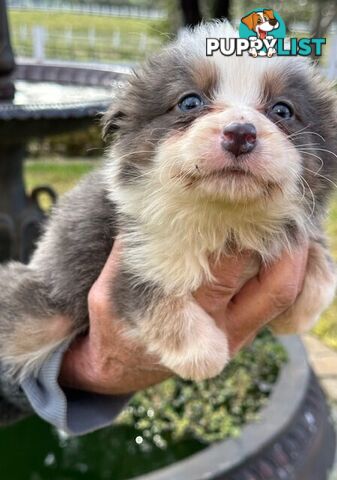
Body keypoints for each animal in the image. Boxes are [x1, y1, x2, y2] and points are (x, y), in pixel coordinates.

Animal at [0, 22, 336, 382]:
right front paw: (205, 353)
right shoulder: (130, 259)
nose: (240, 134)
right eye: (189, 102)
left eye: (283, 110)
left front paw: (297, 316)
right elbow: (153, 297)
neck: (223, 215)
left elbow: (322, 268)